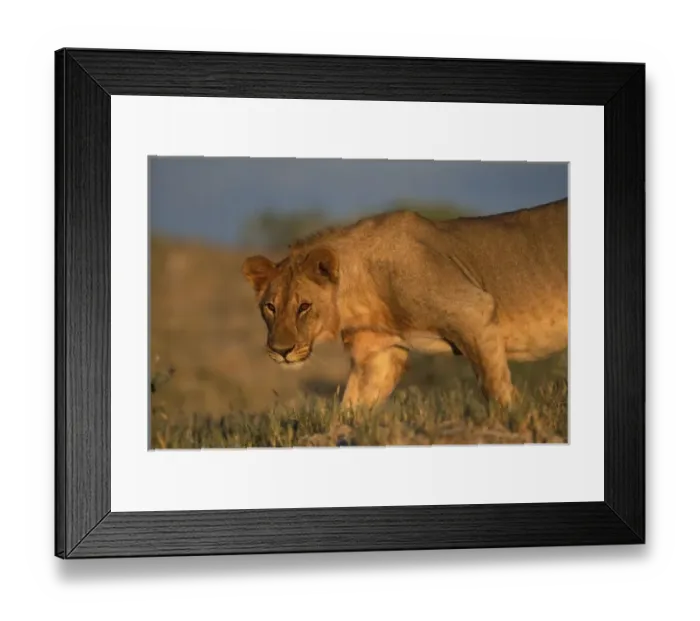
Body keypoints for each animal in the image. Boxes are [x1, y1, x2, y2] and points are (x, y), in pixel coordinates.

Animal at [241, 198, 568, 410]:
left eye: (304, 307)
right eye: (270, 307)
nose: (280, 351)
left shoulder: (475, 310)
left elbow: (495, 388)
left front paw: (511, 422)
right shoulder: (379, 354)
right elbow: (350, 410)